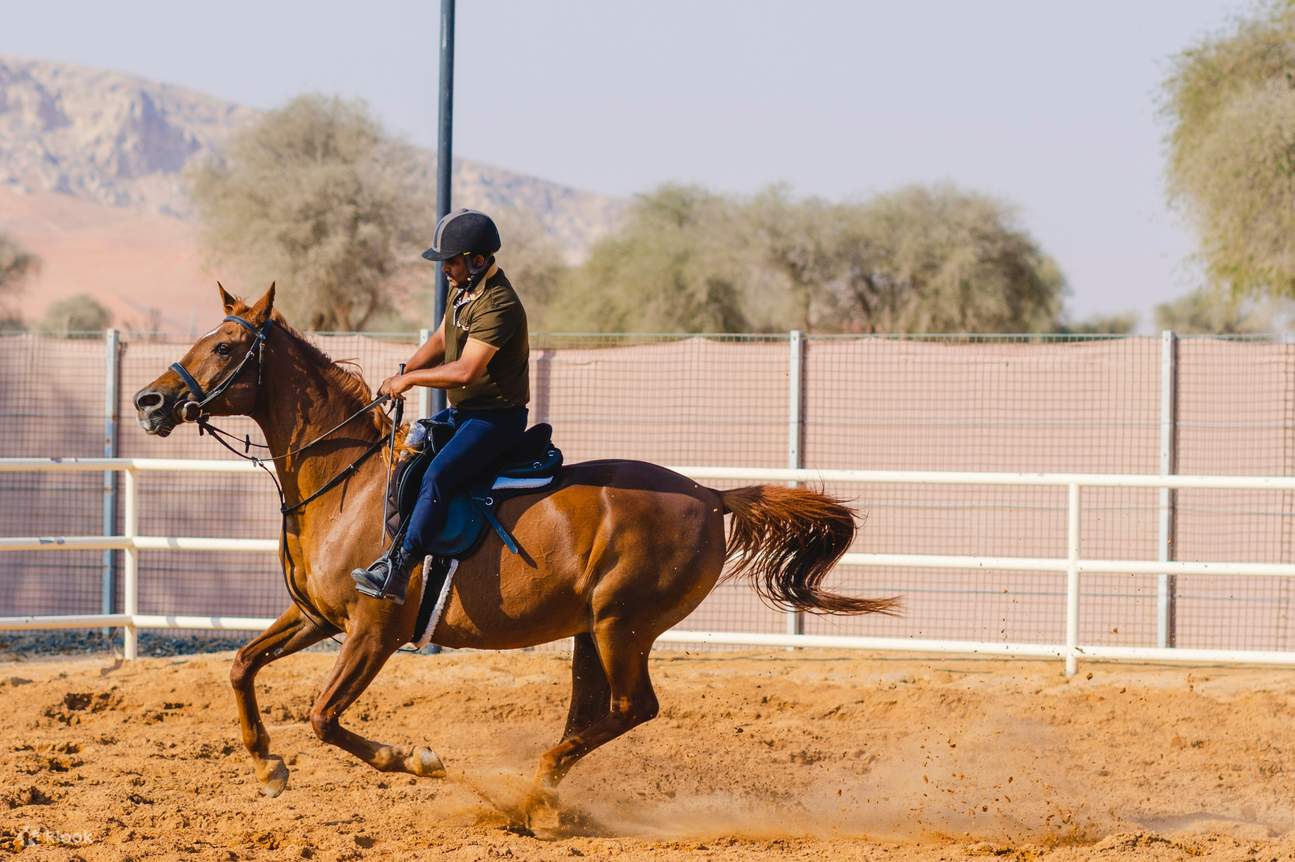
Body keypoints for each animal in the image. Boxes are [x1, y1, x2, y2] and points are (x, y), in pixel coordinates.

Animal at [134, 283, 901, 828]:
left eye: (225, 349)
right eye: (205, 339)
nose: (149, 401)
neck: (348, 481)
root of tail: (710, 496)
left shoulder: (371, 631)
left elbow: (324, 718)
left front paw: (419, 759)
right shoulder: (317, 617)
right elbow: (241, 666)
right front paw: (268, 766)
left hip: (622, 625)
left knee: (632, 709)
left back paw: (527, 799)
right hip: (593, 633)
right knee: (594, 717)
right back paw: (540, 801)